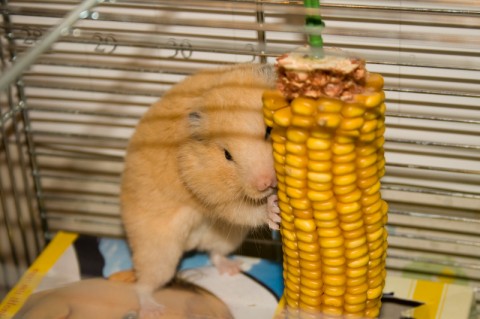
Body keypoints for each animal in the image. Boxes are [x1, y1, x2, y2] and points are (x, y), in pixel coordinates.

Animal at [120, 63, 280, 318]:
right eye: (227, 155)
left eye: (268, 131)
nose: (266, 183)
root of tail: (192, 243)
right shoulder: (209, 194)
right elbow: (244, 211)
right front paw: (273, 209)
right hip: (157, 249)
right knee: (143, 284)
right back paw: (152, 309)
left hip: (227, 237)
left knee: (215, 254)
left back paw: (233, 269)